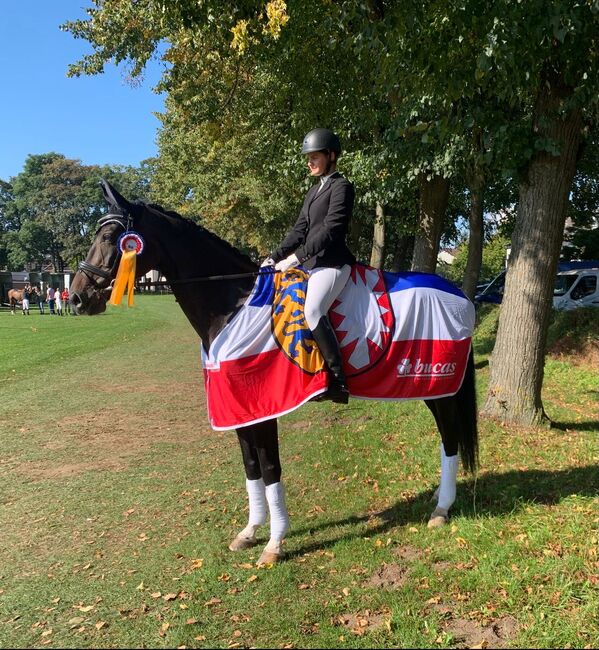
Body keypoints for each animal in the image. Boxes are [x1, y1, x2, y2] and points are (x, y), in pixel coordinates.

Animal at [70, 180, 480, 564]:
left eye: (110, 237)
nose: (77, 298)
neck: (233, 304)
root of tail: (460, 295)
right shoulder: (240, 408)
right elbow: (251, 468)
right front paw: (250, 532)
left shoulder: (265, 407)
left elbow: (270, 470)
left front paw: (275, 543)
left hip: (439, 387)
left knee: (450, 438)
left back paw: (441, 509)